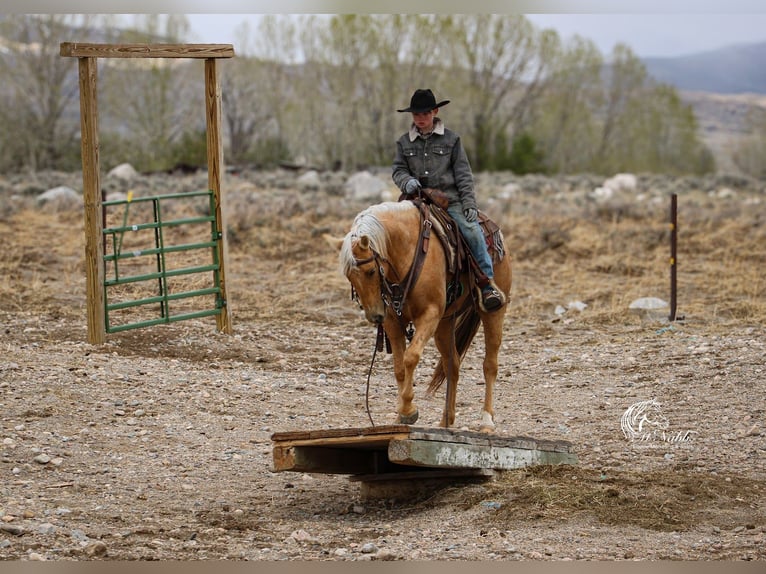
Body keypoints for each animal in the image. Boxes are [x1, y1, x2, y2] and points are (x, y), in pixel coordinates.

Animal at [332, 198, 512, 431]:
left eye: (371, 271)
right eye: (349, 276)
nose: (374, 316)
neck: (406, 253)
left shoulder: (429, 315)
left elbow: (411, 357)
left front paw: (409, 410)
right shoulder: (393, 321)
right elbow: (399, 368)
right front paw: (401, 415)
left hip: (493, 312)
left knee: (489, 365)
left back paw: (487, 421)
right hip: (445, 325)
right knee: (452, 365)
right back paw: (446, 420)